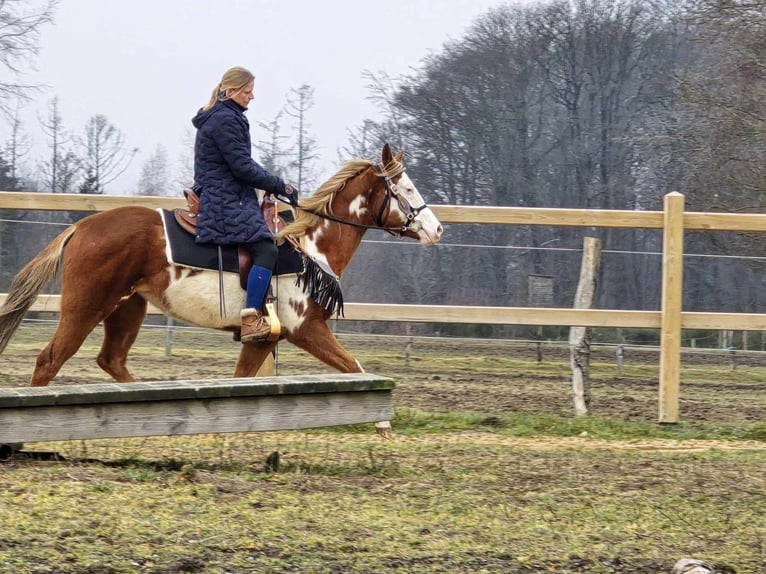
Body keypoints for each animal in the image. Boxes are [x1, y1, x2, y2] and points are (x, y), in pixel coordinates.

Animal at [0, 143, 444, 432]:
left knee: (112, 361)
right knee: (49, 361)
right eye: (405, 189)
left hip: (128, 309)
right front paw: (383, 423)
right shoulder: (306, 329)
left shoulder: (263, 340)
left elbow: (243, 378)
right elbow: (354, 367)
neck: (310, 245)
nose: (437, 228)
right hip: (87, 307)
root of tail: (81, 227)